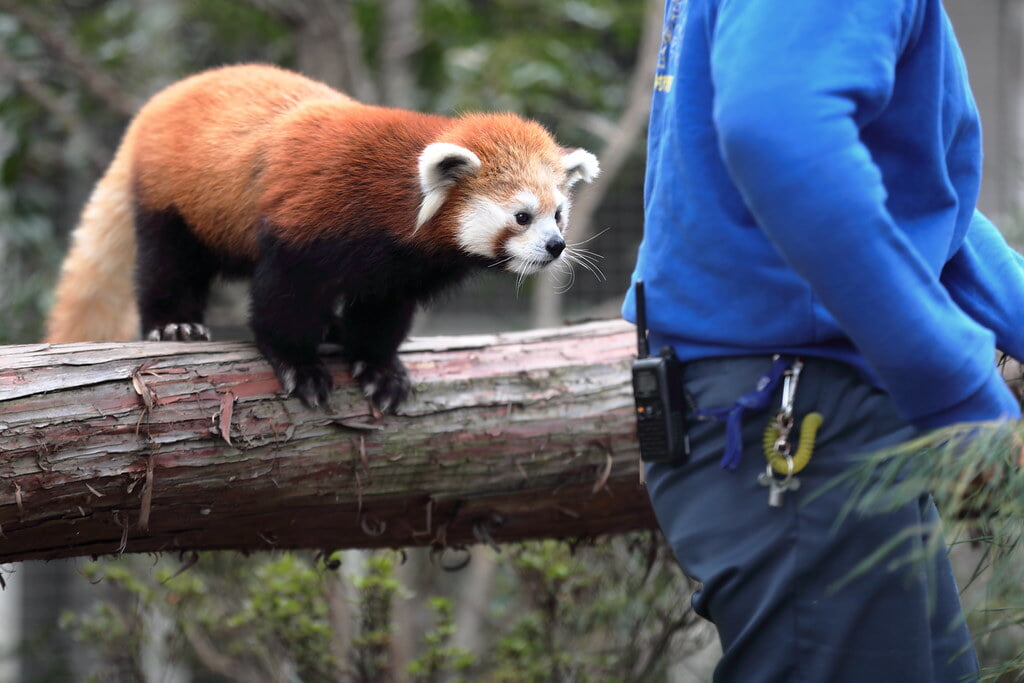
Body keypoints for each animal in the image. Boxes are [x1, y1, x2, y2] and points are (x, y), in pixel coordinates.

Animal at [44, 63, 598, 411]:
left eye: (559, 215)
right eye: (522, 217)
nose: (555, 247)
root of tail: (156, 105)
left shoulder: (400, 270)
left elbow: (382, 314)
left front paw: (378, 367)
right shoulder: (310, 220)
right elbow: (284, 299)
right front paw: (299, 364)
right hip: (175, 198)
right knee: (168, 261)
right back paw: (176, 323)